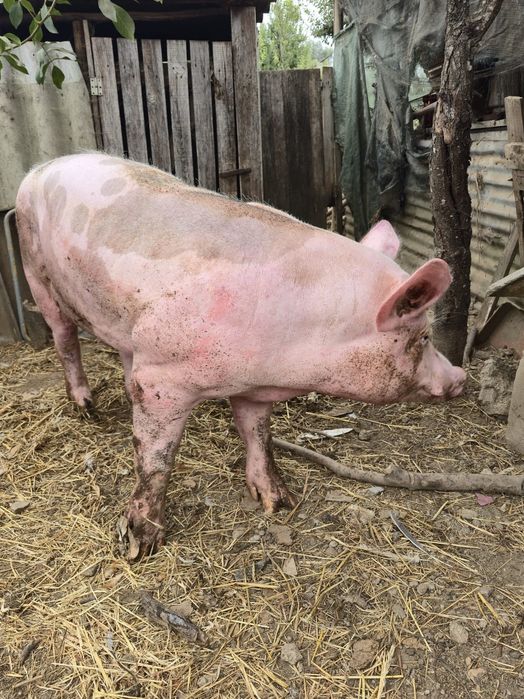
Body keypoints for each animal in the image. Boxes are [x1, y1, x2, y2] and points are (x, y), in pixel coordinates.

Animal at [16, 153, 466, 557]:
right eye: (424, 336)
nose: (460, 377)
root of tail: (40, 168)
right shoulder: (162, 377)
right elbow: (156, 458)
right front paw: (141, 545)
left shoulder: (252, 386)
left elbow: (258, 434)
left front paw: (278, 503)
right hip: (34, 266)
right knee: (64, 337)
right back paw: (86, 407)